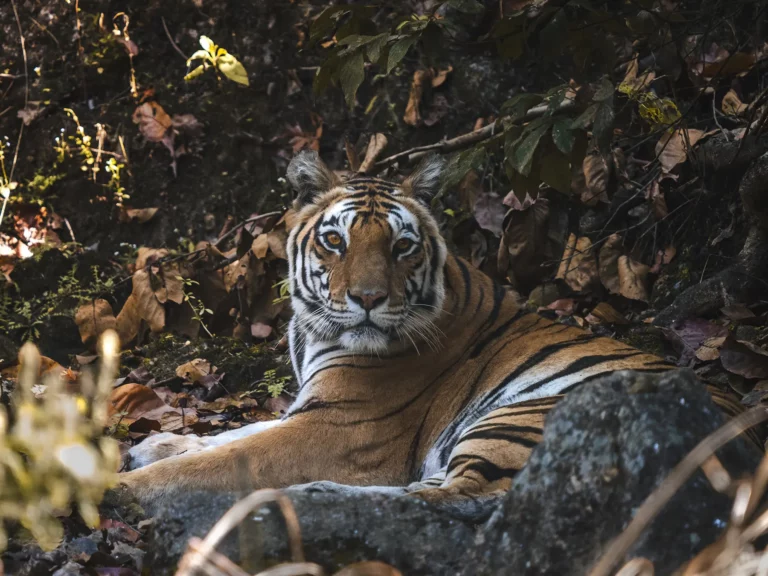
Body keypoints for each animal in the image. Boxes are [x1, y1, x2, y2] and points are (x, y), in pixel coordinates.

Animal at [119, 150, 752, 519]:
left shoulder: (338, 429)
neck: (314, 331)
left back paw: (306, 495)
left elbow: (223, 459)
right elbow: (230, 434)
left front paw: (124, 486)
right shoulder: (308, 411)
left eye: (402, 245)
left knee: (459, 499)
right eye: (335, 241)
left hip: (525, 415)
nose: (368, 299)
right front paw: (152, 445)